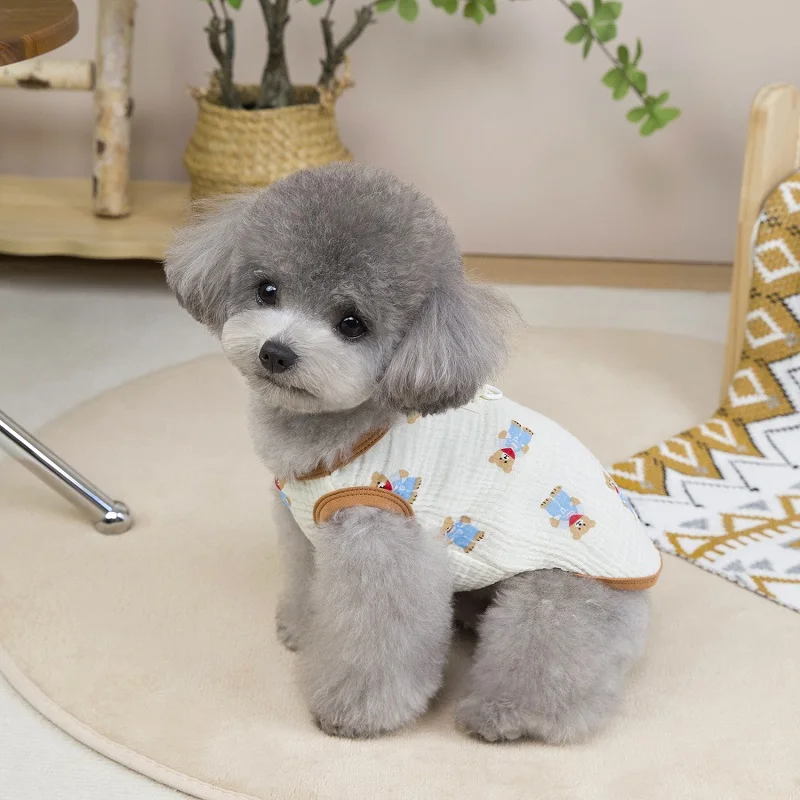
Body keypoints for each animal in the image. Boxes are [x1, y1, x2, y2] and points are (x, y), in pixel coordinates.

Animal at [164, 163, 652, 743]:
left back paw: (505, 716)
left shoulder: (382, 543)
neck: (352, 432)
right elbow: (310, 585)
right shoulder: (306, 531)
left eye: (352, 323)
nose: (276, 353)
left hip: (556, 597)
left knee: (560, 675)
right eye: (267, 290)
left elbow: (375, 643)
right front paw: (301, 629)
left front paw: (354, 715)